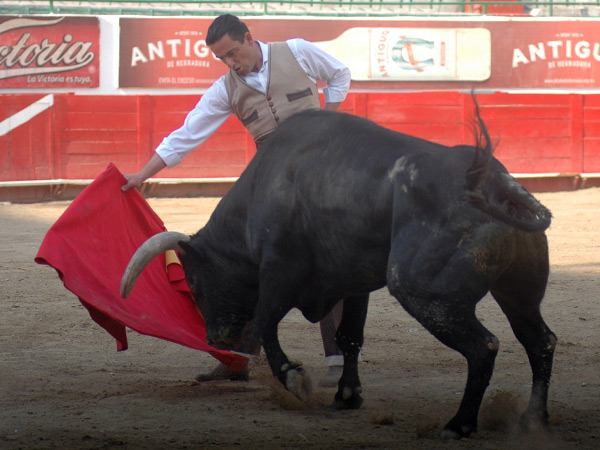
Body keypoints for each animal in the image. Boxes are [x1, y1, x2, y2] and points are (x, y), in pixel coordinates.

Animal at [122, 108, 556, 440]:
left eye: (194, 282)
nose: (216, 338)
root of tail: (494, 181)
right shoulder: (353, 280)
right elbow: (349, 336)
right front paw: (347, 396)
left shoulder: (278, 271)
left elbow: (265, 323)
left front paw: (295, 379)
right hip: (518, 293)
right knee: (540, 341)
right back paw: (533, 419)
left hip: (423, 293)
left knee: (484, 346)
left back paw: (459, 424)